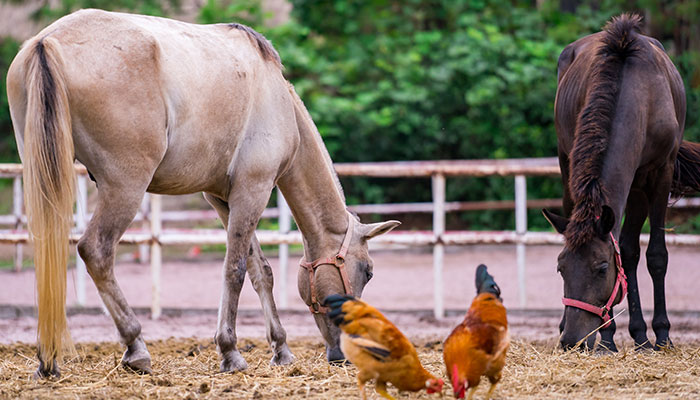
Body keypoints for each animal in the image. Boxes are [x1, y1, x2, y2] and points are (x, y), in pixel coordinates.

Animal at [8, 9, 400, 378]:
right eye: (367, 271)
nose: (344, 354)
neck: (277, 99)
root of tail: (47, 42)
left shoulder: (224, 198)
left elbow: (261, 271)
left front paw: (281, 349)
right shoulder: (252, 191)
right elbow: (235, 270)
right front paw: (230, 352)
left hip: (47, 177)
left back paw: (48, 360)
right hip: (125, 187)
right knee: (96, 251)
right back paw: (135, 347)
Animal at [548, 14, 700, 350]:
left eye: (602, 268)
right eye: (560, 268)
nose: (573, 341)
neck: (639, 95)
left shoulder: (660, 174)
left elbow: (655, 255)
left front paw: (663, 334)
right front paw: (607, 339)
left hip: (639, 188)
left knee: (630, 250)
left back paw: (643, 335)